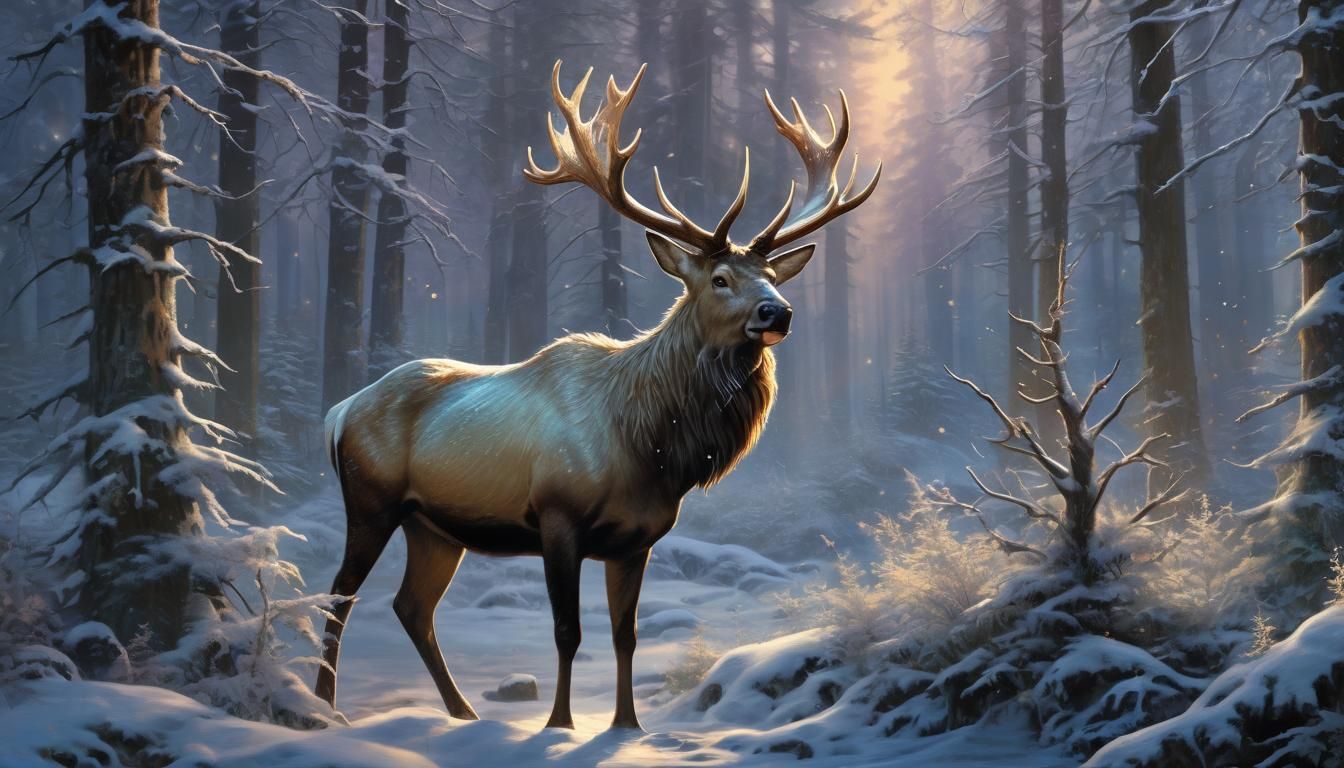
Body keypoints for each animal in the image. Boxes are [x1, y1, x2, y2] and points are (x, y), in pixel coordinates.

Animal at [313, 60, 879, 731]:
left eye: (770, 275)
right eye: (720, 279)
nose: (779, 312)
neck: (649, 446)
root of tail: (339, 411)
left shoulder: (636, 540)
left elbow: (624, 635)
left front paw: (627, 724)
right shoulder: (557, 516)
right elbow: (567, 631)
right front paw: (560, 724)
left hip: (435, 528)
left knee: (411, 607)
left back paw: (462, 713)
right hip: (371, 501)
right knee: (340, 594)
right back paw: (324, 709)